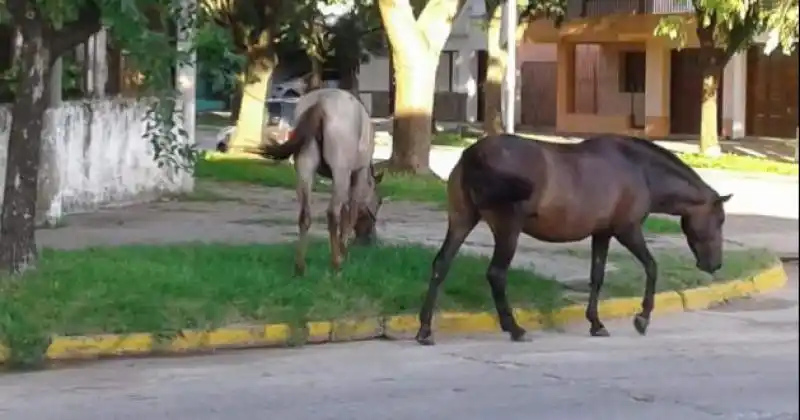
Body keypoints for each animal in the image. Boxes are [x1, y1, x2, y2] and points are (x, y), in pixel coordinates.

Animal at [257, 88, 384, 276]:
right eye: (379, 202)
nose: (370, 239)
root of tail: (320, 103)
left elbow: (345, 212)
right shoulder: (356, 176)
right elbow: (350, 214)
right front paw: (343, 252)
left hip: (305, 168)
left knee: (305, 215)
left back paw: (300, 267)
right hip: (340, 171)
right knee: (332, 214)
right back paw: (336, 264)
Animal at [415, 133, 732, 345]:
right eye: (719, 220)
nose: (715, 264)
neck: (638, 169)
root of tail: (475, 153)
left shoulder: (602, 234)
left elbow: (597, 276)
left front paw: (596, 323)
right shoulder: (627, 230)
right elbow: (651, 267)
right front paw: (642, 319)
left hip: (461, 221)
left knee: (441, 265)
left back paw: (425, 330)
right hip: (507, 230)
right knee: (496, 274)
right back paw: (515, 329)